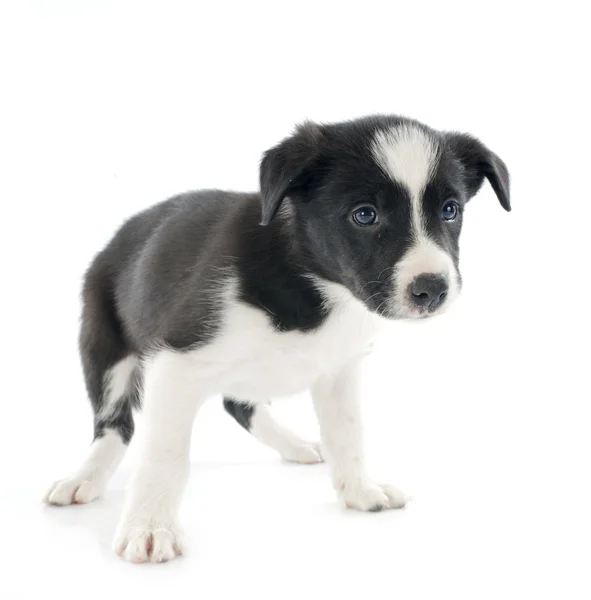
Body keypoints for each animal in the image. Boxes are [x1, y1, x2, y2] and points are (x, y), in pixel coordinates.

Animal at [44, 113, 512, 564]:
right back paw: (85, 477)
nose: (432, 288)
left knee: (240, 404)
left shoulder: (338, 369)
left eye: (450, 210)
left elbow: (347, 433)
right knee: (114, 425)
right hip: (104, 344)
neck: (314, 284)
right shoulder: (176, 363)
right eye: (365, 215)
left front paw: (361, 490)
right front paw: (149, 528)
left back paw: (294, 444)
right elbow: (165, 456)